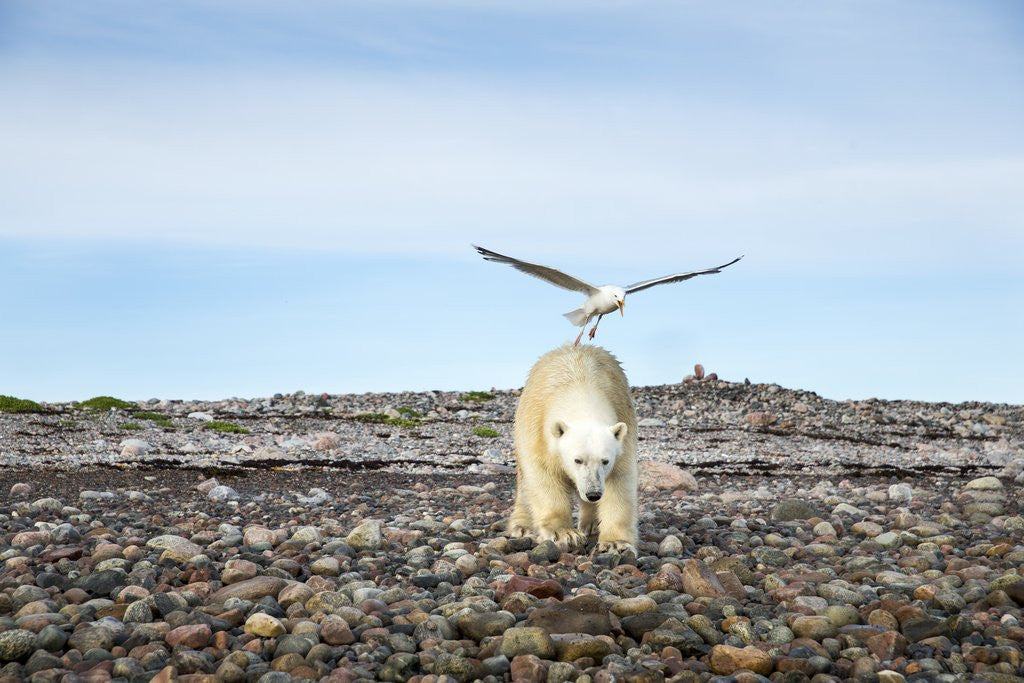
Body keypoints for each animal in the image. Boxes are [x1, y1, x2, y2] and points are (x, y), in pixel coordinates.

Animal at [508, 343, 638, 553]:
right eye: (577, 460)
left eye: (605, 461)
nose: (593, 494)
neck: (580, 385)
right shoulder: (537, 431)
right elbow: (543, 477)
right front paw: (564, 533)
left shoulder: (624, 431)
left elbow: (620, 483)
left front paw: (615, 543)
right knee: (524, 483)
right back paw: (522, 526)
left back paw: (591, 523)